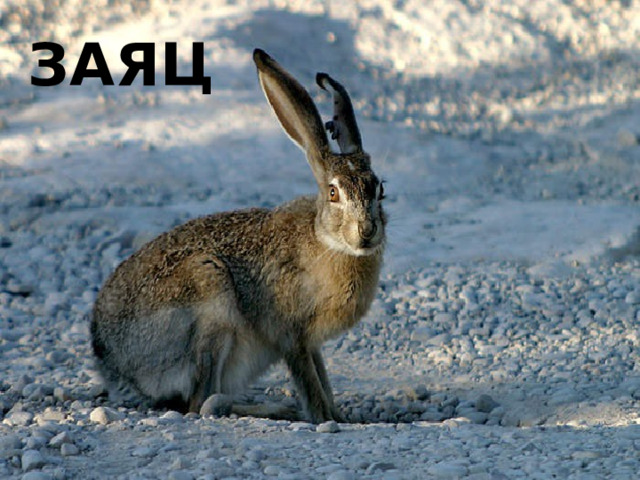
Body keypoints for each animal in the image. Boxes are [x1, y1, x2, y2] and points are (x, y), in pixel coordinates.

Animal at [90, 49, 386, 424]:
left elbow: (323, 379)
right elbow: (311, 385)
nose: (367, 233)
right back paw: (279, 409)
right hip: (209, 297)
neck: (325, 241)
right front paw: (325, 418)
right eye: (334, 193)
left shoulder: (312, 343)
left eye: (380, 189)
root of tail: (112, 365)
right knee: (201, 402)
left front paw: (340, 415)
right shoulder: (291, 335)